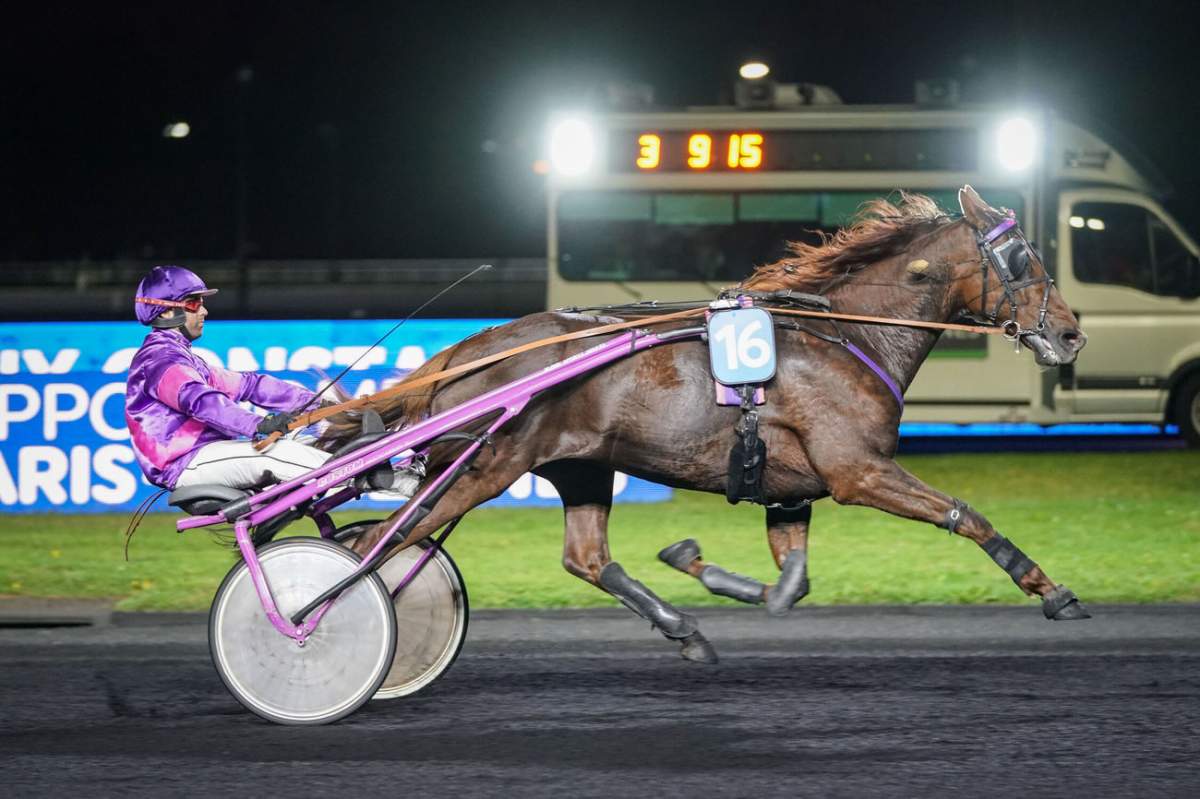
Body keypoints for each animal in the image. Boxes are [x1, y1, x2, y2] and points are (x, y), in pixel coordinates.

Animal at [322, 186, 1090, 663]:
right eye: (1021, 258)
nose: (1071, 334)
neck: (846, 335)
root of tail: (470, 347)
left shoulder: (793, 490)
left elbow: (792, 583)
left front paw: (701, 565)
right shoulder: (858, 470)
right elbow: (965, 513)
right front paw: (1052, 591)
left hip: (579, 464)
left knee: (586, 557)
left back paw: (683, 628)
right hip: (484, 467)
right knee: (375, 543)